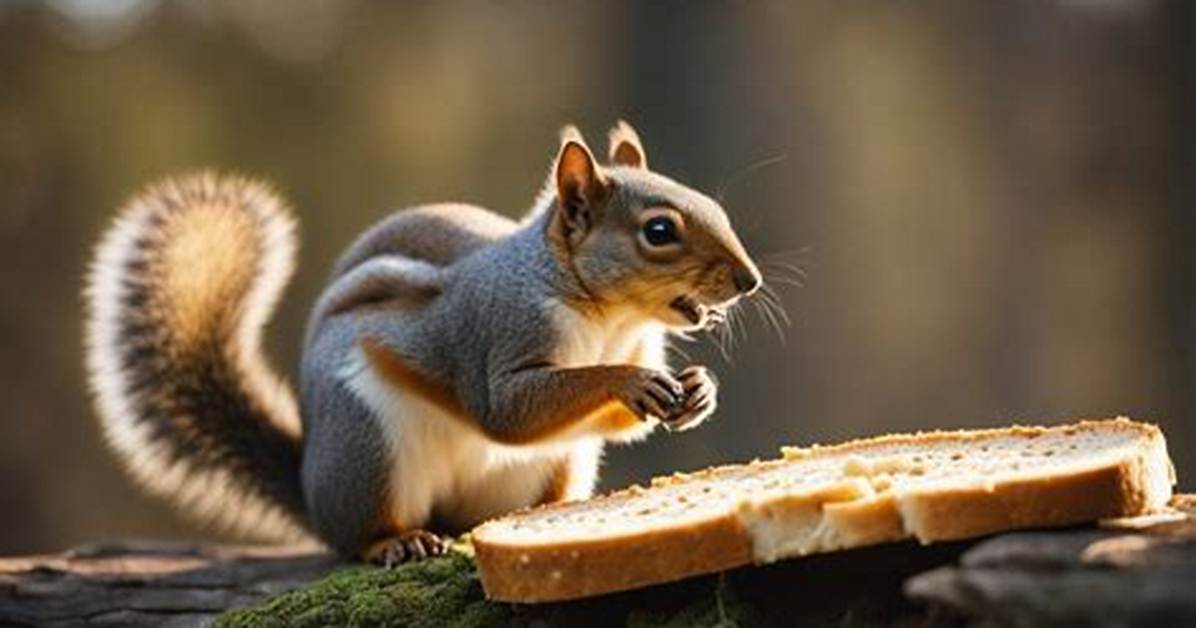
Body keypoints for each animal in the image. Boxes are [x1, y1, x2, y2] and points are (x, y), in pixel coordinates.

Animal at [84, 122, 762, 565]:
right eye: (659, 231)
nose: (748, 280)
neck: (608, 319)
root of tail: (310, 487)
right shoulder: (497, 332)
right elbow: (508, 411)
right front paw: (627, 381)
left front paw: (700, 390)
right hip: (366, 446)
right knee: (359, 534)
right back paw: (396, 539)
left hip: (560, 463)